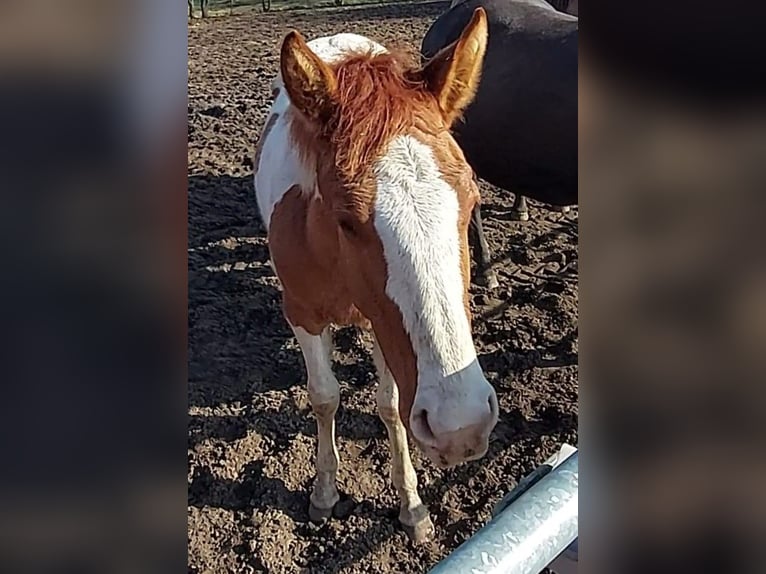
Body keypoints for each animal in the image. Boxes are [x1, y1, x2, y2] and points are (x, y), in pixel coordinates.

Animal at [253, 8, 499, 543]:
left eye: (470, 198)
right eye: (347, 219)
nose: (459, 427)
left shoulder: (381, 321)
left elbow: (389, 406)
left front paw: (412, 506)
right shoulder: (302, 314)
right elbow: (324, 398)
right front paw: (324, 494)